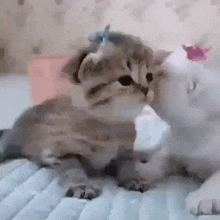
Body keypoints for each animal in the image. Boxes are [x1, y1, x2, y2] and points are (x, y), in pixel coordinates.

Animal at [0, 26, 168, 199]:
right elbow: (73, 170)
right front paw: (81, 185)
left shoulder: (124, 152)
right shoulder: (62, 153)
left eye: (149, 76)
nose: (146, 89)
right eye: (125, 80)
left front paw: (133, 178)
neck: (109, 125)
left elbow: (128, 164)